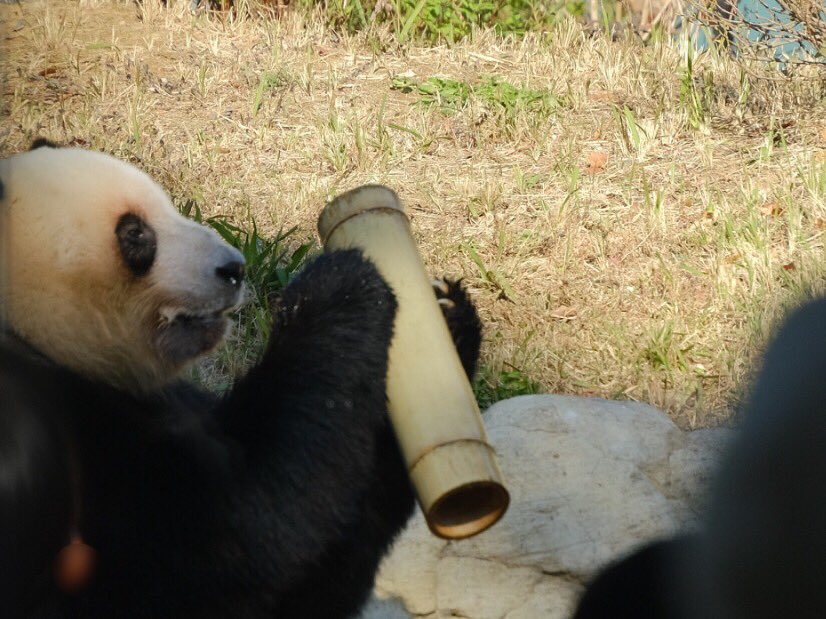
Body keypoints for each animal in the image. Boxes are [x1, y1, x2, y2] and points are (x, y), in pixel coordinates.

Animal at [0, 141, 482, 618]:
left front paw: (448, 313)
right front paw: (339, 283)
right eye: (135, 234)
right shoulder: (76, 441)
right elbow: (245, 530)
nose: (234, 268)